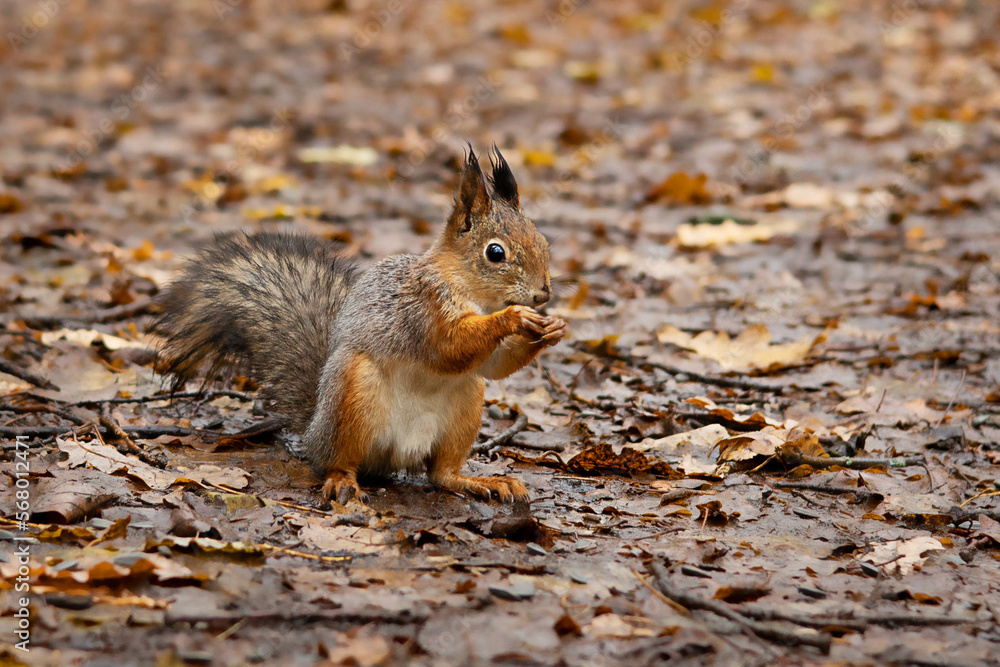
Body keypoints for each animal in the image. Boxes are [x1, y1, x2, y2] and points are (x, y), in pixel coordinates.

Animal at [150, 146, 567, 504]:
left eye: (543, 241)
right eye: (495, 252)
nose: (543, 293)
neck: (473, 291)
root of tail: (313, 431)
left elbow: (494, 365)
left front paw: (553, 329)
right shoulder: (422, 309)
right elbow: (449, 347)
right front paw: (514, 318)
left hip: (466, 403)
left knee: (441, 474)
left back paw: (482, 482)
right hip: (354, 393)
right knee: (341, 461)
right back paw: (342, 482)